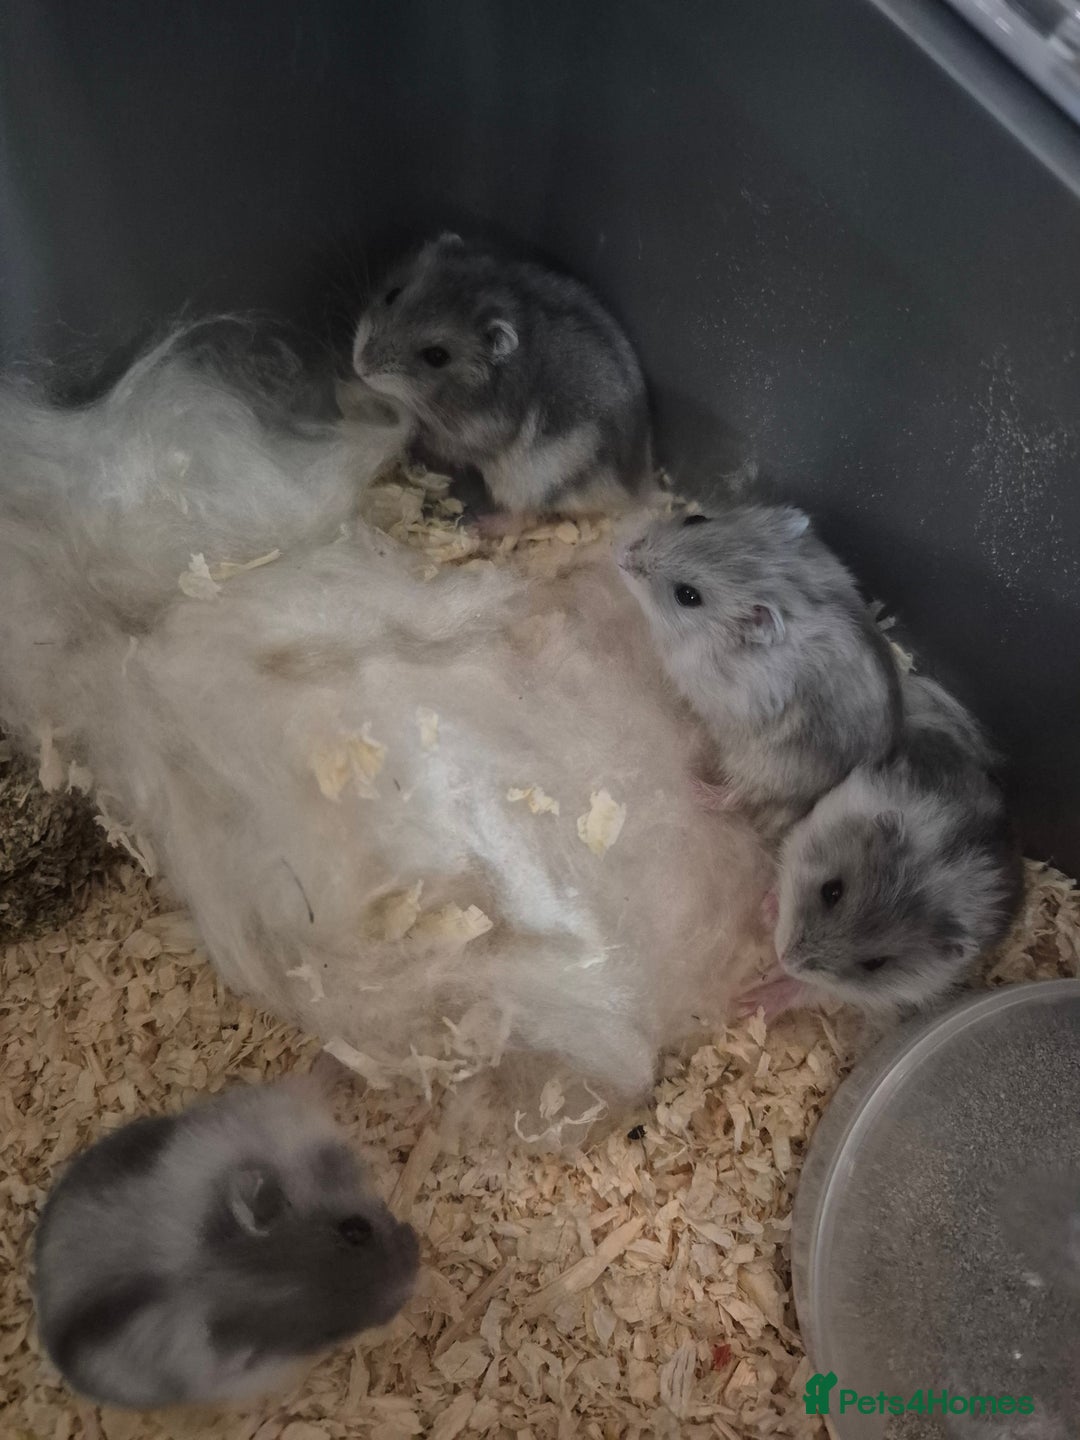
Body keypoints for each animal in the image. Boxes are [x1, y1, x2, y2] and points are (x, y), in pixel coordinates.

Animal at [352, 232, 653, 516]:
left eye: (437, 356)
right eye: (392, 294)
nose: (360, 367)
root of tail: (636, 488)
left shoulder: (469, 438)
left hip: (540, 480)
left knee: (523, 515)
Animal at [617, 505, 902, 831]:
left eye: (687, 596)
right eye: (695, 519)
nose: (623, 554)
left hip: (764, 766)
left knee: (739, 795)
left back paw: (698, 790)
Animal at [770, 673, 1023, 1013]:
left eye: (875, 964)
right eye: (831, 891)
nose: (785, 960)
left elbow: (815, 990)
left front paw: (755, 999)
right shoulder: (810, 826)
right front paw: (767, 908)